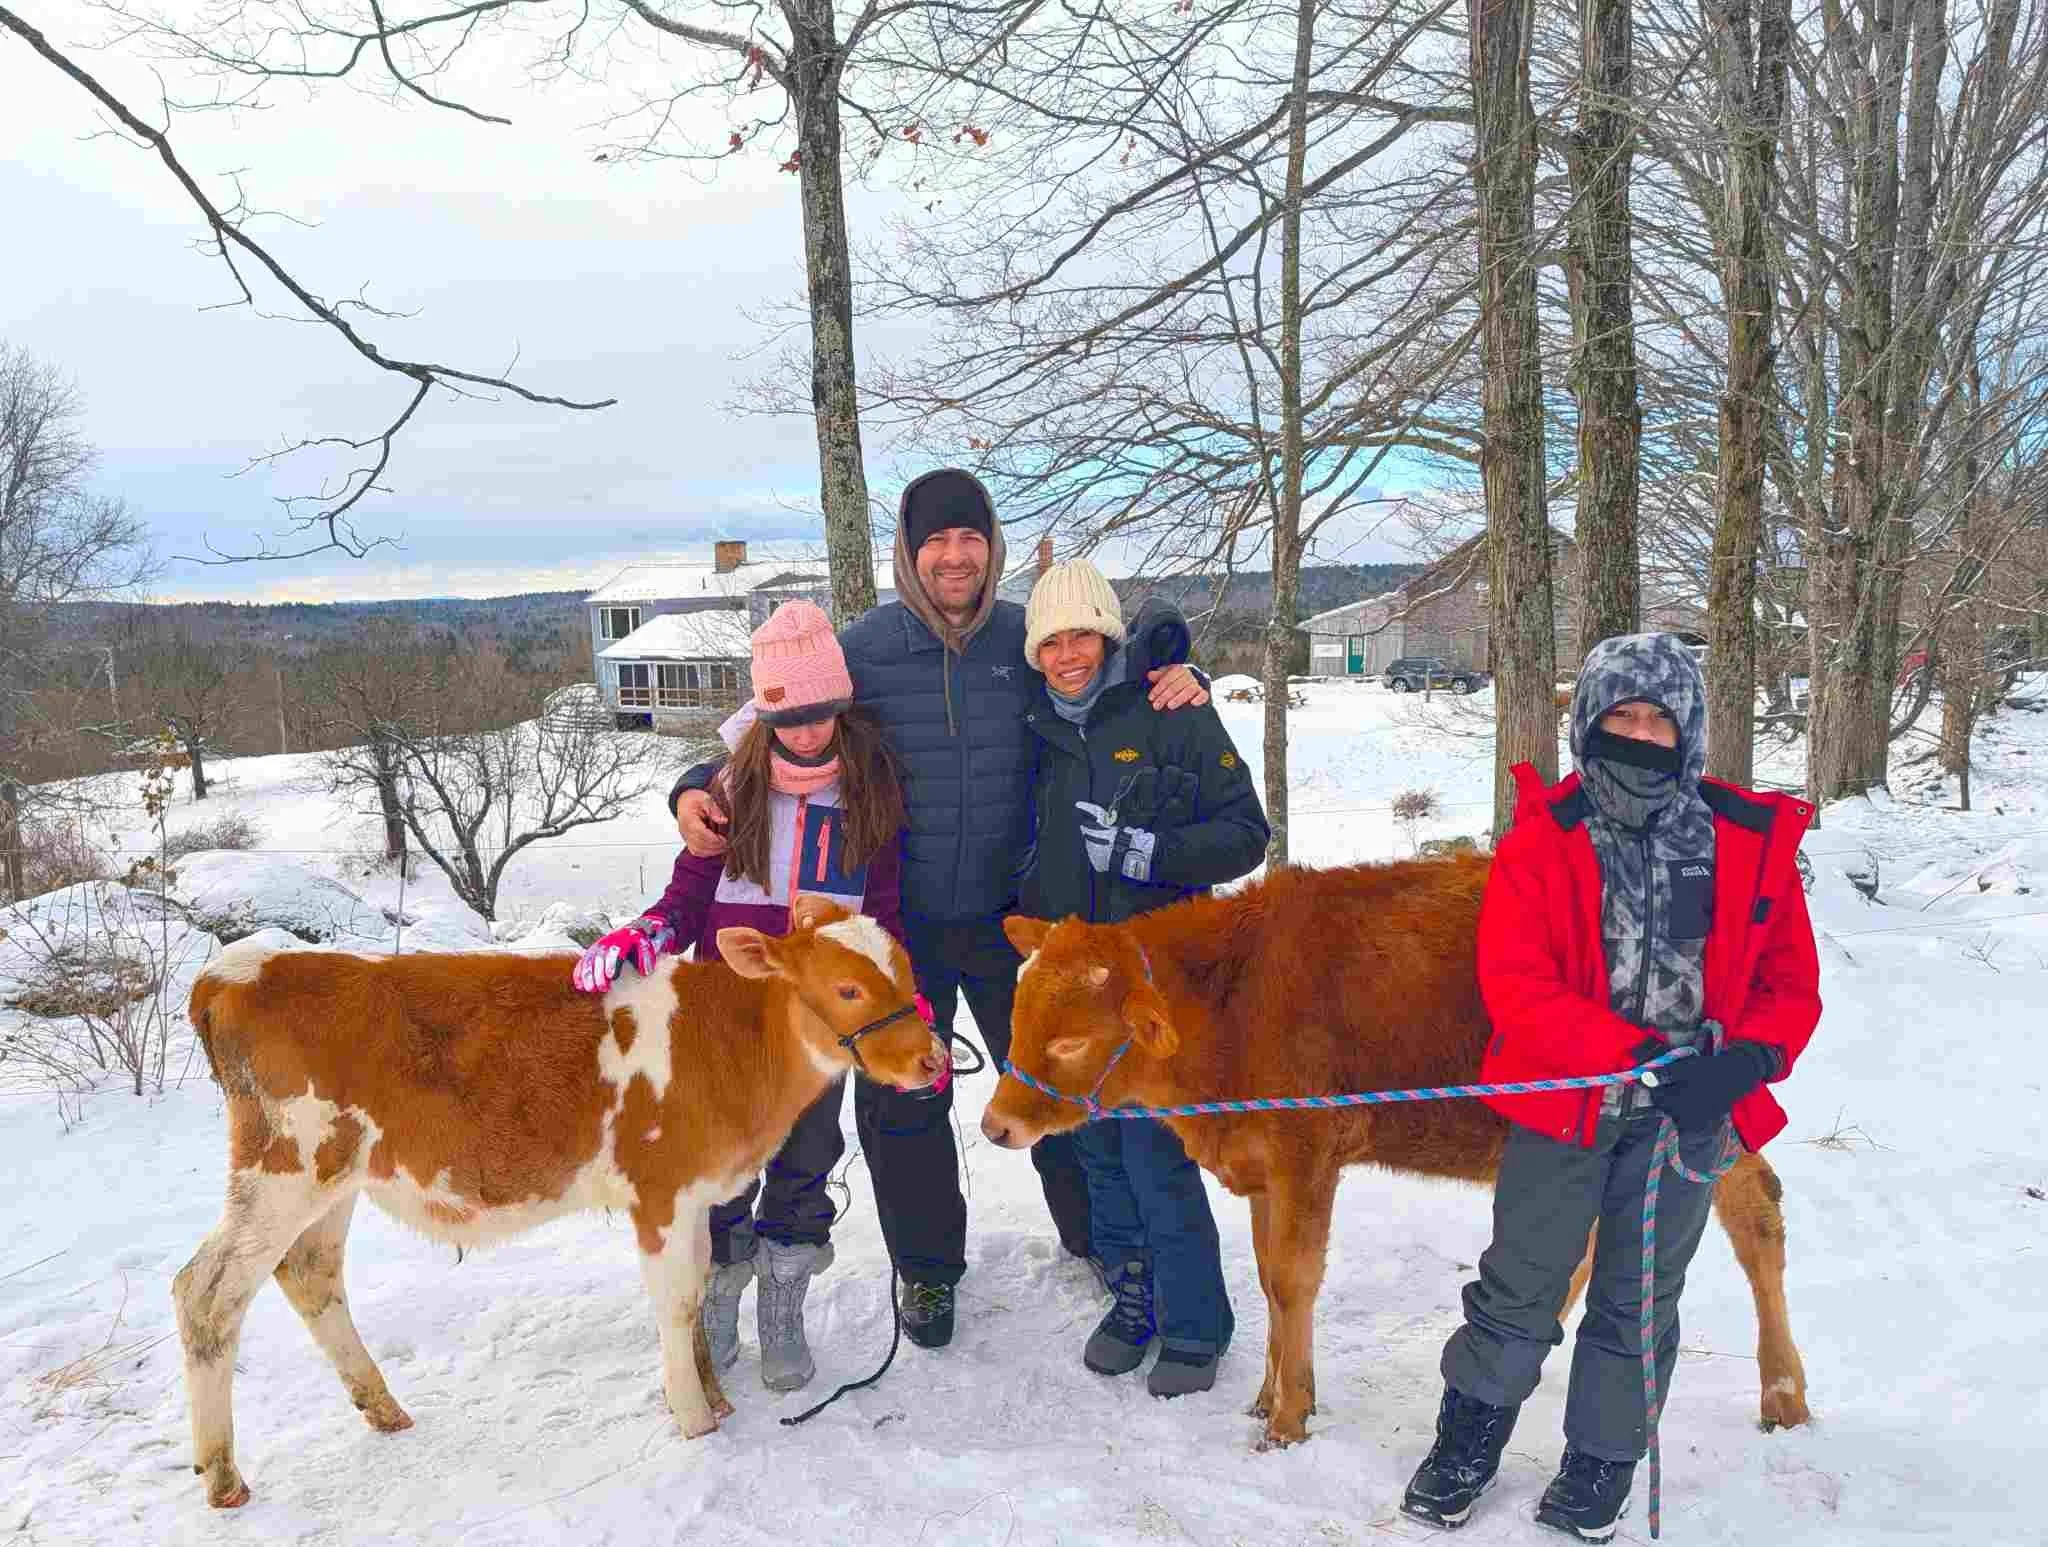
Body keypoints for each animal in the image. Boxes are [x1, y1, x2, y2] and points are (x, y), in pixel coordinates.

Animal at [174, 896, 946, 1509]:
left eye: (907, 974)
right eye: (847, 988)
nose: (934, 1059)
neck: (724, 1039)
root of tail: (237, 971)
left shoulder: (695, 1194)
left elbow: (697, 1290)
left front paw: (715, 1395)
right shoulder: (659, 1190)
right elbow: (674, 1301)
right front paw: (693, 1415)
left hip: (337, 1179)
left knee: (311, 1274)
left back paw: (384, 1407)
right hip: (285, 1169)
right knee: (206, 1291)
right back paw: (223, 1476)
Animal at [985, 856, 1809, 1454]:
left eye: (1071, 1041)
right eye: (1019, 1015)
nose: (995, 1124)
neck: (1236, 997)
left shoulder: (1306, 1155)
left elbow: (1293, 1280)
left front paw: (1287, 1418)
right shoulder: (1263, 1170)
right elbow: (1269, 1278)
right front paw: (1271, 1394)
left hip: (1705, 1122)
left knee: (1758, 1213)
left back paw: (1784, 1395)